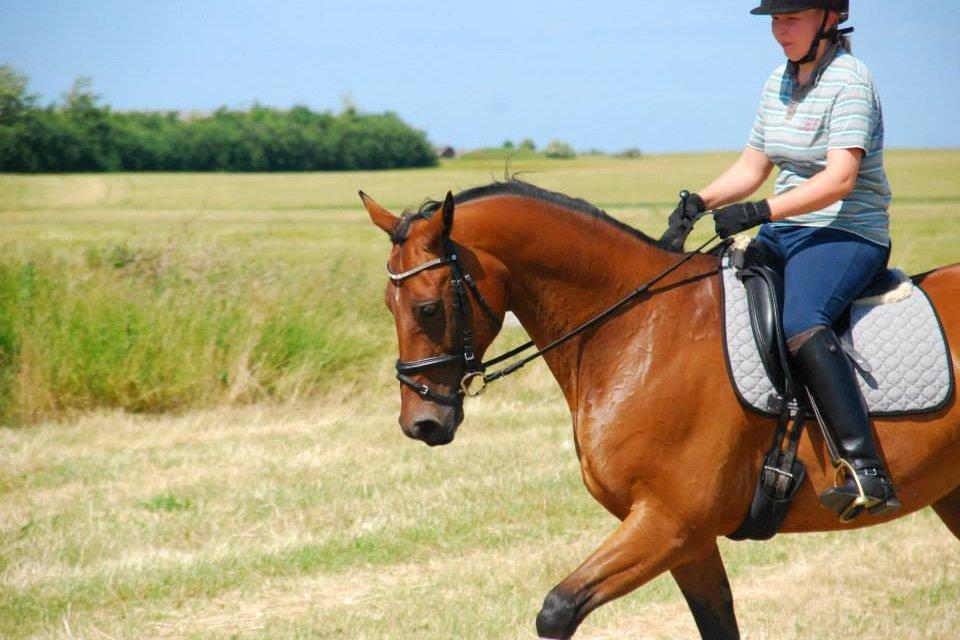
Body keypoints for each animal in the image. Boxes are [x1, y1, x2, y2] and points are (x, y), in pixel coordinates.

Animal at [360, 179, 960, 640]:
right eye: (388, 304)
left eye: (428, 308)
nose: (421, 423)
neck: (635, 328)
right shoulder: (687, 543)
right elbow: (717, 625)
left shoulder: (670, 523)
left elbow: (557, 611)